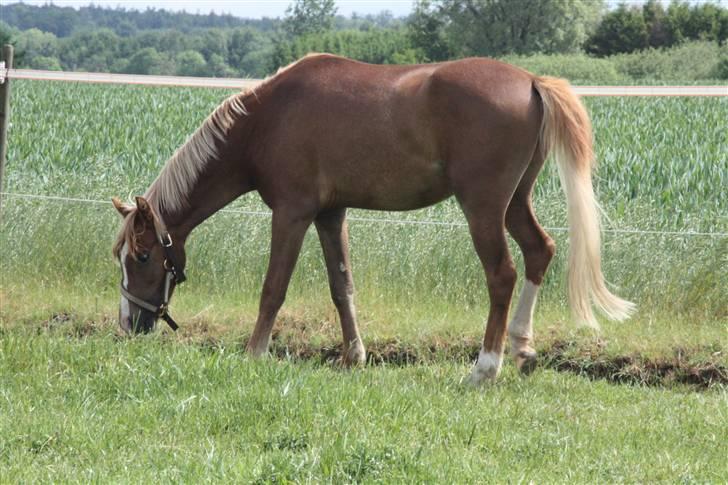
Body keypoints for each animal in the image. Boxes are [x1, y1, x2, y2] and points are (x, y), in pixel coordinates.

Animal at [111, 53, 636, 384]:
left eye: (143, 256)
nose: (128, 325)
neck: (267, 119)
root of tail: (531, 81)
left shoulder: (292, 213)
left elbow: (273, 288)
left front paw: (255, 353)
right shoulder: (330, 214)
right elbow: (341, 287)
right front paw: (354, 356)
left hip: (484, 207)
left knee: (502, 275)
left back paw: (486, 368)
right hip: (514, 203)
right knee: (539, 251)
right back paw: (523, 347)